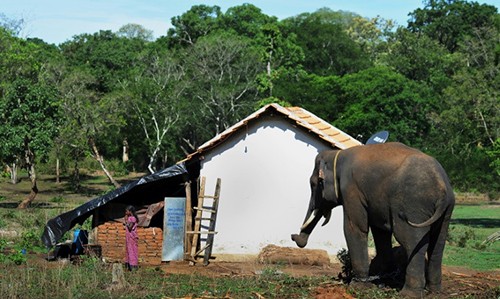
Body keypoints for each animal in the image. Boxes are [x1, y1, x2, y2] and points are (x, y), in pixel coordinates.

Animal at [292, 142, 456, 298]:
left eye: (313, 184)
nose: (295, 237)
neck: (337, 154)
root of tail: (441, 185)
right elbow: (380, 232)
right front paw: (385, 280)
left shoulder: (351, 189)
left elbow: (354, 228)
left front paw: (358, 286)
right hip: (447, 210)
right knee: (438, 244)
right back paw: (434, 291)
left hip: (413, 205)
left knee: (411, 241)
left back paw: (409, 294)